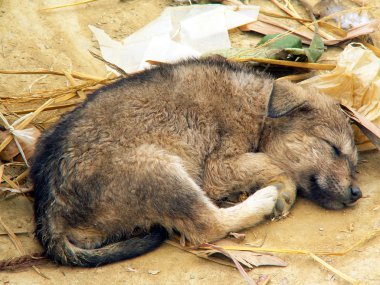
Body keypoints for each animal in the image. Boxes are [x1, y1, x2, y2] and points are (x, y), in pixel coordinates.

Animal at [30, 57, 360, 266]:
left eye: (354, 162)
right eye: (333, 148)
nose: (357, 193)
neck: (261, 106)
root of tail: (49, 213)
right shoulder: (218, 168)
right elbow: (271, 163)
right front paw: (283, 190)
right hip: (157, 167)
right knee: (208, 225)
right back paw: (263, 200)